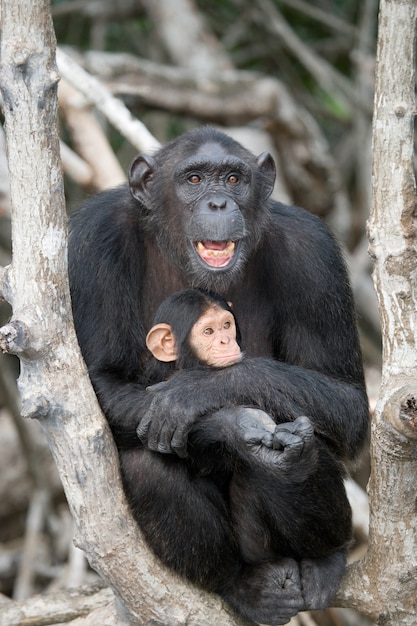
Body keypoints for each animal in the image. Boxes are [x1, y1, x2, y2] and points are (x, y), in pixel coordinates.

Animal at [67, 124, 368, 620]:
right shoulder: (94, 243)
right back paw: (242, 585)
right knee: (148, 465)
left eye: (232, 179)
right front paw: (231, 425)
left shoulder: (313, 254)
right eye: (193, 179)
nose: (218, 204)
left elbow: (348, 401)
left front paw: (199, 393)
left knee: (310, 440)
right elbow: (99, 385)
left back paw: (323, 553)